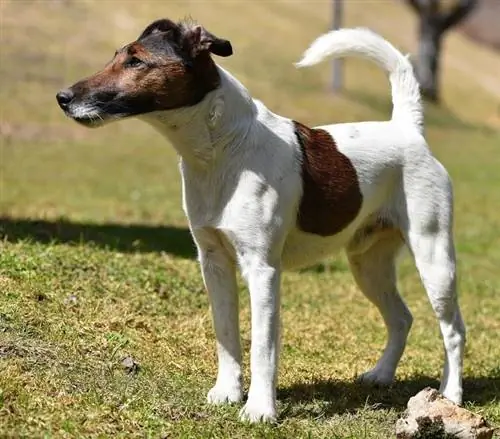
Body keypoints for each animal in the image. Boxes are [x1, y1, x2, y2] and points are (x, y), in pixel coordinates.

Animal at [56, 17, 466, 422]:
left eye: (136, 61)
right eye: (116, 56)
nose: (62, 97)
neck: (223, 148)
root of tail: (407, 128)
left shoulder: (262, 269)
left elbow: (263, 346)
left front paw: (259, 409)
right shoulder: (213, 262)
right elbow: (226, 333)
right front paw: (227, 392)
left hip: (434, 258)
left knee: (454, 330)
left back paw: (451, 395)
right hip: (368, 264)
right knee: (401, 318)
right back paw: (381, 374)